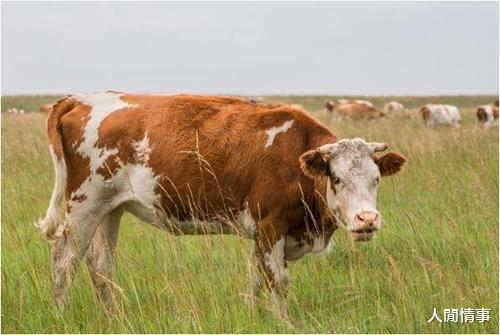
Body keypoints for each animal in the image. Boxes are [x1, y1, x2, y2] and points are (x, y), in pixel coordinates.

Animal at [38, 92, 406, 312]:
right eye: (337, 179)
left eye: (376, 179)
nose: (367, 219)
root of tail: (81, 98)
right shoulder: (271, 227)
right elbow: (277, 284)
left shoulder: (261, 235)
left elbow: (254, 281)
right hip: (84, 206)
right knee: (63, 262)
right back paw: (63, 314)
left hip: (110, 209)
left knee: (100, 265)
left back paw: (112, 316)